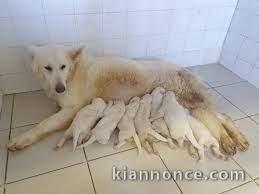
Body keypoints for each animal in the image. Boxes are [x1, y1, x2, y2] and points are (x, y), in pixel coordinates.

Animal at [6, 44, 250, 156]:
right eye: (47, 68)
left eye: (62, 66)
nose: (59, 88)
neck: (73, 73)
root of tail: (187, 70)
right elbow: (51, 112)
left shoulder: (70, 111)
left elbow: (43, 124)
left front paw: (21, 139)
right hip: (190, 107)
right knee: (222, 117)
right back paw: (238, 139)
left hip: (190, 102)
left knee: (216, 120)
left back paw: (229, 141)